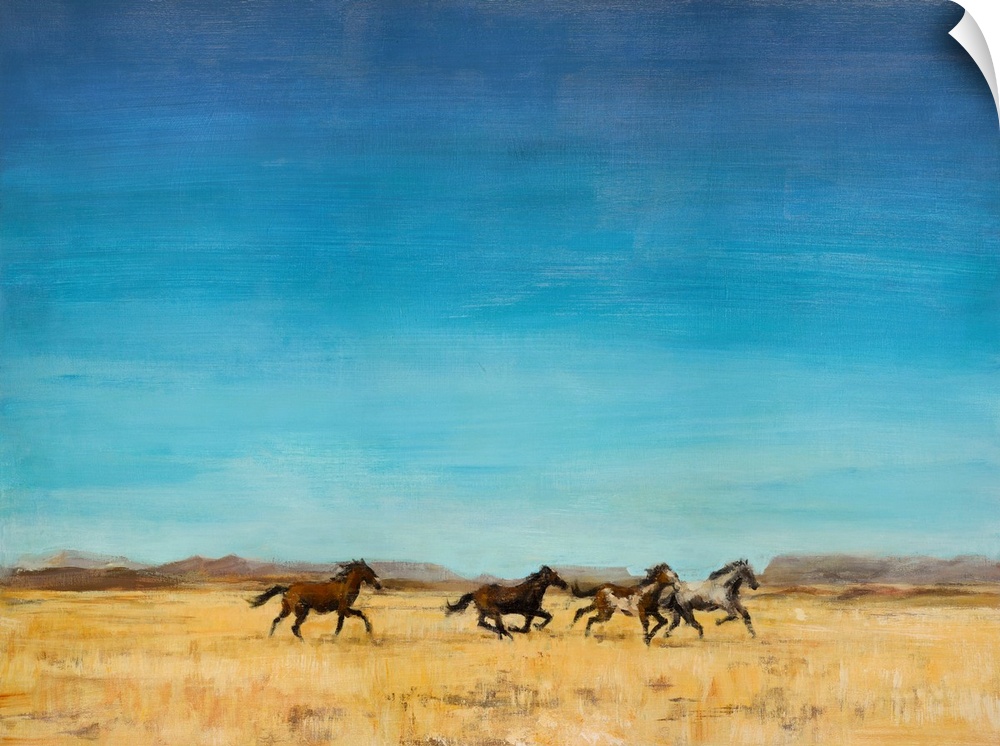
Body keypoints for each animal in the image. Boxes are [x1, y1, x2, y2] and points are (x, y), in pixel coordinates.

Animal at [249, 559, 382, 640]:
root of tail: (288, 588)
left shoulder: (343, 610)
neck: (345, 585)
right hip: (302, 611)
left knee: (276, 621)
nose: (378, 586)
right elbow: (344, 623)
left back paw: (270, 637)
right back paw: (303, 642)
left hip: (286, 610)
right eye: (369, 571)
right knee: (294, 627)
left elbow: (351, 619)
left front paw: (369, 631)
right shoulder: (343, 609)